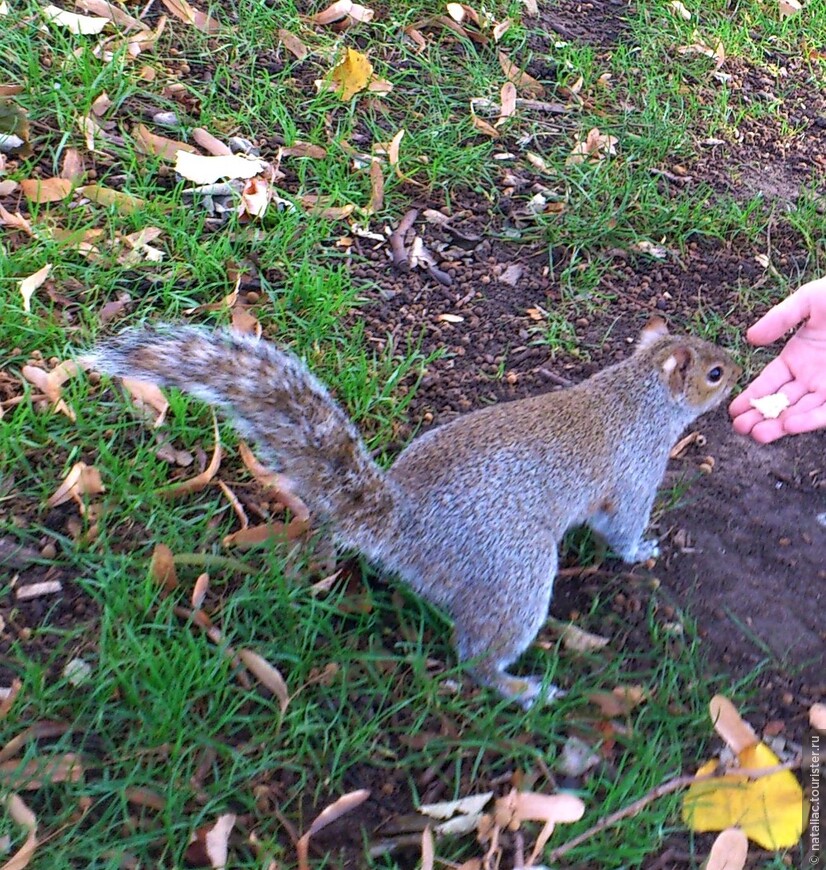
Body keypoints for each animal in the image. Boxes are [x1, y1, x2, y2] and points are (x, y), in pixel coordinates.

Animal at [87, 318, 736, 708]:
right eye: (714, 373)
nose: (739, 366)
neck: (639, 394)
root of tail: (404, 527)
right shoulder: (633, 474)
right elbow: (620, 527)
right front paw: (641, 549)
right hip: (515, 569)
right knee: (477, 655)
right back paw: (520, 687)